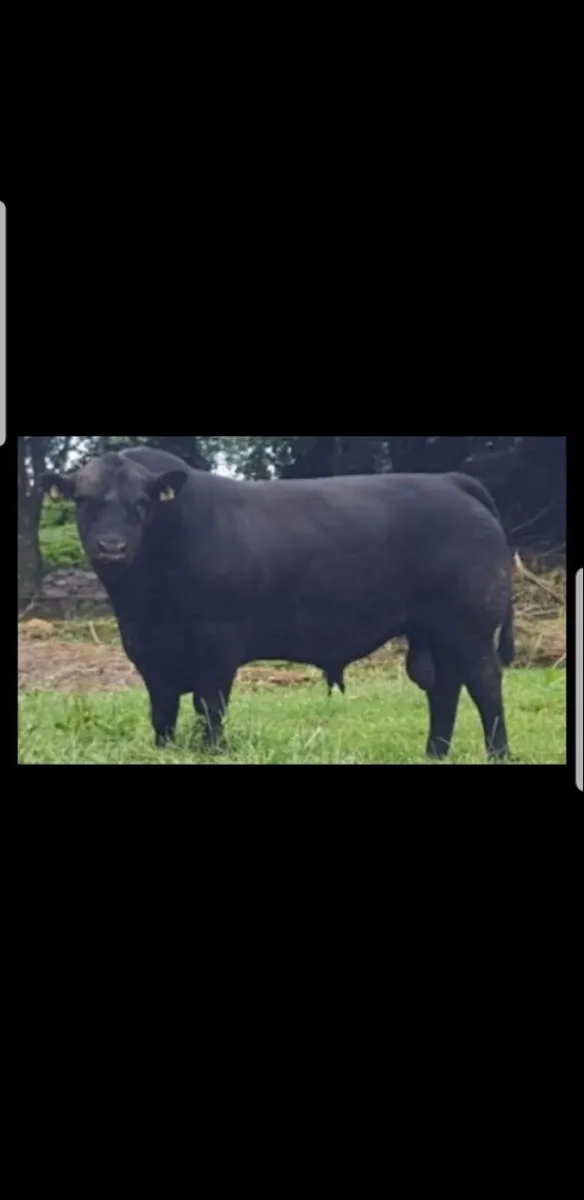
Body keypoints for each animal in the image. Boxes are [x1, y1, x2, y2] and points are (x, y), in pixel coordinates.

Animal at [42, 447, 516, 760]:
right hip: (433, 631)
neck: (146, 601)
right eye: (83, 500)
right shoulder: (148, 652)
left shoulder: (217, 646)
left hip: (470, 627)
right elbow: (163, 712)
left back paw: (498, 754)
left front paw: (213, 751)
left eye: (141, 503)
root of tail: (449, 480)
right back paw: (434, 753)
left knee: (485, 684)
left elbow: (210, 707)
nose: (112, 547)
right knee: (444, 687)